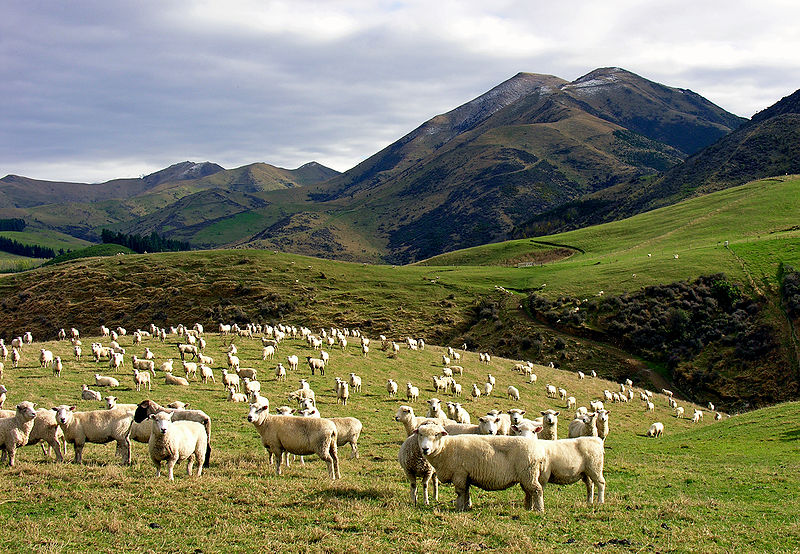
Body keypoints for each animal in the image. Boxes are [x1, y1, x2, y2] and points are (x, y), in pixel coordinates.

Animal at [412, 422, 544, 508]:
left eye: (436, 435)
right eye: (420, 434)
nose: (425, 449)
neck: (446, 448)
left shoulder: (460, 473)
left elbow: (460, 492)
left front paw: (458, 508)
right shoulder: (466, 475)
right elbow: (467, 492)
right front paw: (466, 507)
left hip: (528, 474)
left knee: (537, 490)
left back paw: (539, 510)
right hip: (525, 476)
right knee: (529, 492)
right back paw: (528, 508)